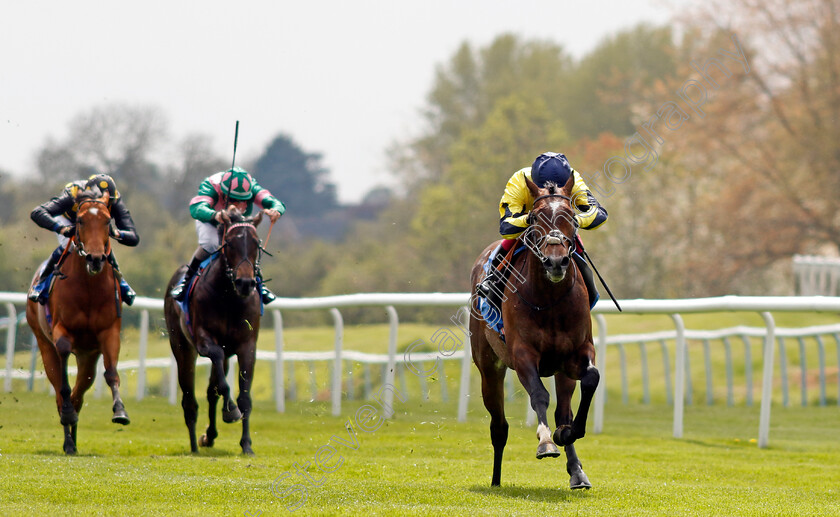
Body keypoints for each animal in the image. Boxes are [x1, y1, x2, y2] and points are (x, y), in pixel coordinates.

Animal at [25, 188, 130, 452]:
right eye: (80, 221)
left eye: (107, 221)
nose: (95, 258)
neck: (89, 288)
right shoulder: (61, 331)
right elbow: (63, 376)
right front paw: (67, 414)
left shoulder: (108, 333)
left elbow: (111, 372)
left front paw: (120, 411)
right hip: (44, 343)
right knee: (60, 392)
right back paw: (68, 434)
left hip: (87, 357)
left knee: (79, 394)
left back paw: (72, 437)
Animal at [165, 204, 266, 454]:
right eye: (229, 243)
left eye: (256, 243)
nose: (245, 283)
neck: (229, 297)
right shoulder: (205, 341)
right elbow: (222, 378)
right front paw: (230, 411)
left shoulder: (247, 346)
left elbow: (243, 397)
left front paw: (246, 445)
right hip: (182, 348)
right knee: (190, 399)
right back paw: (194, 445)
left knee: (212, 391)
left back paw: (208, 436)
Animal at [470, 172, 600, 488]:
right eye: (535, 217)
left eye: (571, 217)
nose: (555, 261)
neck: (550, 300)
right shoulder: (522, 354)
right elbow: (539, 396)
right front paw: (545, 441)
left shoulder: (578, 352)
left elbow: (591, 380)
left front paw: (565, 433)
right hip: (489, 368)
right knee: (499, 426)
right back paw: (495, 480)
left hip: (562, 370)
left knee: (563, 409)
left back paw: (576, 470)